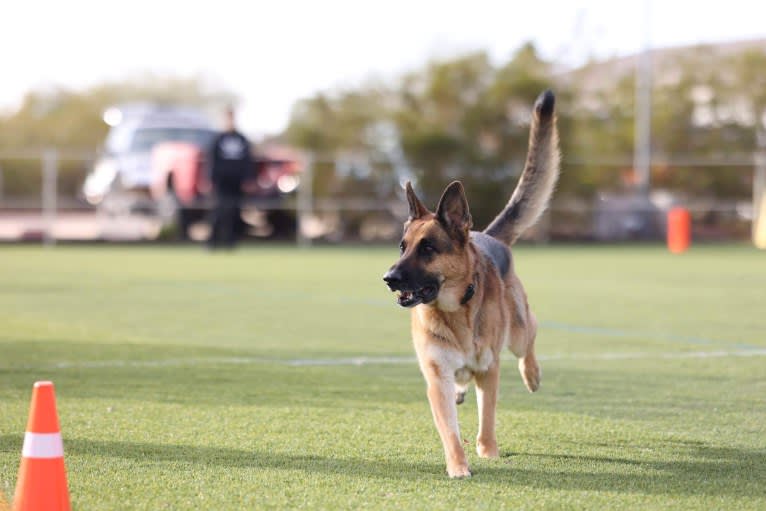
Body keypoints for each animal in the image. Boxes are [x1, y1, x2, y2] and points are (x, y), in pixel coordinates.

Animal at [382, 90, 560, 478]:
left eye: (428, 248)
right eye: (402, 247)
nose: (388, 278)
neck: (455, 310)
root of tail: (486, 234)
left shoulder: (488, 369)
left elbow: (487, 417)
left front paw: (488, 451)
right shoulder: (437, 378)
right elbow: (449, 429)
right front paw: (458, 466)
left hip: (518, 331)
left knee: (530, 336)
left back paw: (532, 374)